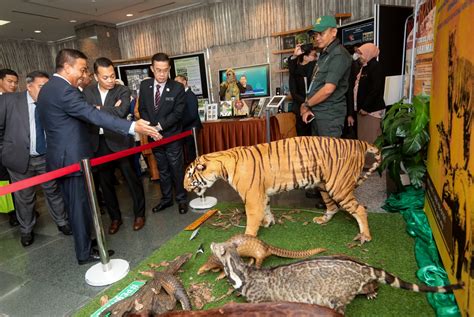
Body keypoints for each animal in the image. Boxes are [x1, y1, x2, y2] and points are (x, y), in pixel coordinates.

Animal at [183, 136, 380, 242]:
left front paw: (248, 237)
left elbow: (251, 220)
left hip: (338, 187)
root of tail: (359, 142)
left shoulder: (252, 198)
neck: (222, 164)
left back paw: (365, 236)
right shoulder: (262, 195)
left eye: (190, 175)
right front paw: (268, 222)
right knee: (333, 207)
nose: (184, 187)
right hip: (325, 186)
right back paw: (322, 220)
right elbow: (267, 209)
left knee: (360, 209)